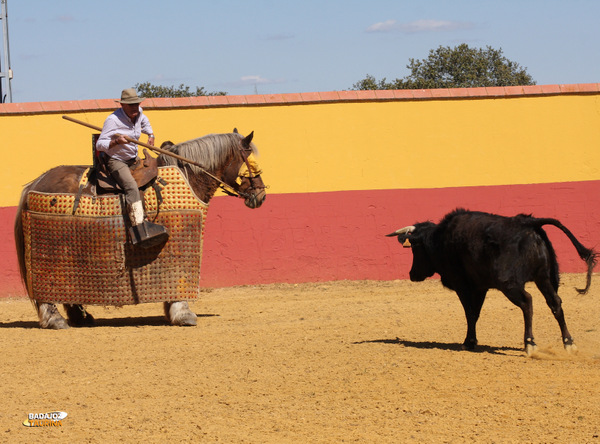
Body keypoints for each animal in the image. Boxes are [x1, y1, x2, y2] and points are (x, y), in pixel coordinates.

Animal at [12, 130, 266, 328]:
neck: (189, 176)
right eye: (250, 161)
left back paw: (80, 316)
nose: (261, 195)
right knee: (46, 289)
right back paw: (55, 319)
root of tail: (35, 183)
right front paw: (183, 313)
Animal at [386, 210, 596, 356]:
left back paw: (529, 343)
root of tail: (528, 222)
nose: (412, 274)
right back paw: (569, 343)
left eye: (414, 248)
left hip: (509, 284)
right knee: (555, 303)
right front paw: (471, 341)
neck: (440, 239)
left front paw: (468, 342)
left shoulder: (462, 285)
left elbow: (470, 313)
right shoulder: (481, 287)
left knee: (527, 302)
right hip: (543, 277)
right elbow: (476, 313)